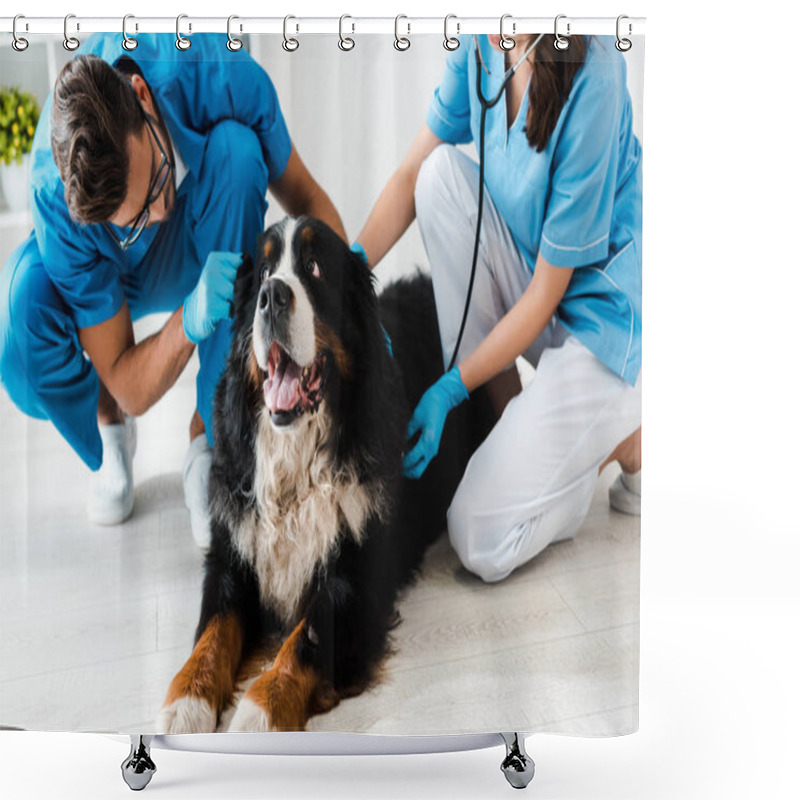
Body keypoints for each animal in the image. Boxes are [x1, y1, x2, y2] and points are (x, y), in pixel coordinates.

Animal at [159, 216, 490, 736]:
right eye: (263, 272)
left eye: (314, 268)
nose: (272, 295)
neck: (295, 463)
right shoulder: (232, 552)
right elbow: (213, 630)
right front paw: (185, 702)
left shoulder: (356, 580)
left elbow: (306, 640)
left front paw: (257, 715)